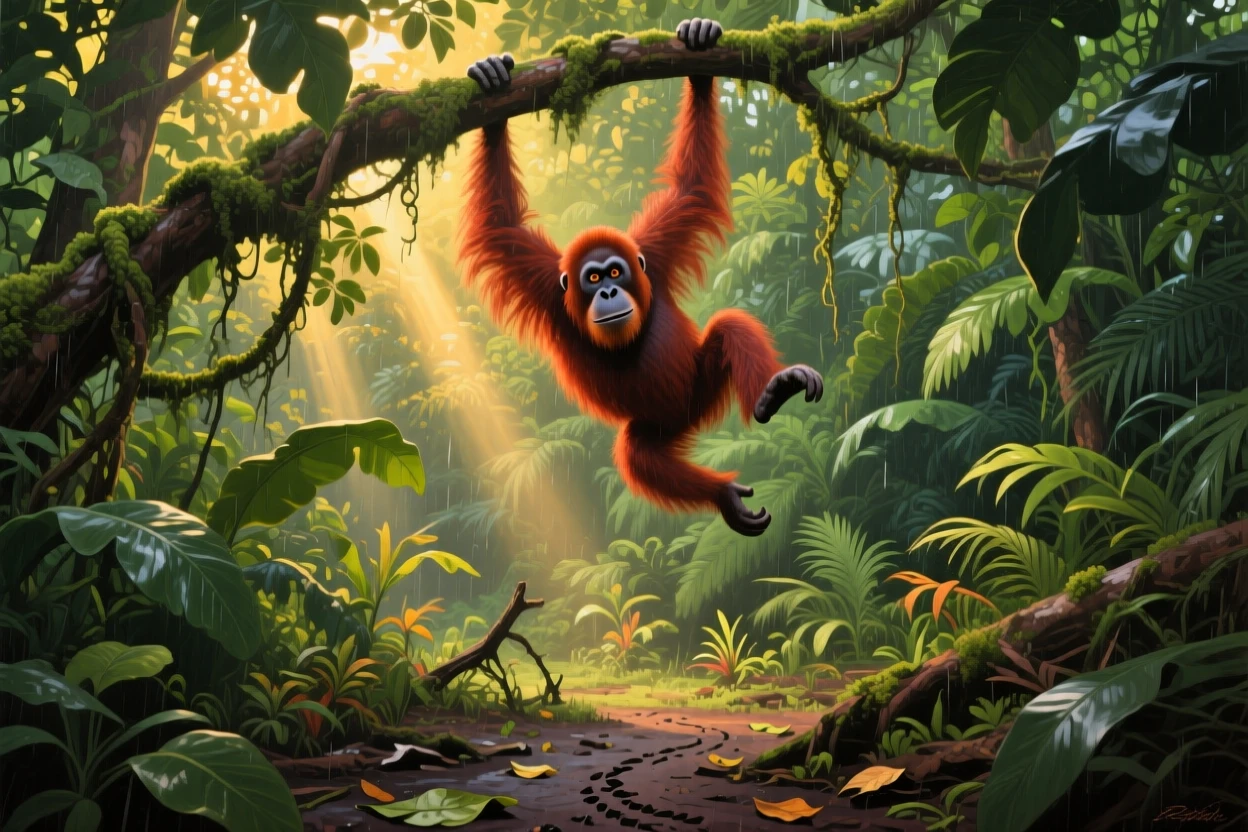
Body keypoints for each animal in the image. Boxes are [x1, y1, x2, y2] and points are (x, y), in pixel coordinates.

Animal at [459, 18, 823, 537]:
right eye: (592, 280)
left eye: (615, 271)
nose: (611, 290)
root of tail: (687, 420)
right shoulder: (542, 283)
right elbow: (499, 225)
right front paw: (493, 93)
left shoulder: (655, 252)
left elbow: (692, 188)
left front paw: (699, 56)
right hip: (661, 424)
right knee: (639, 457)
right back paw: (722, 495)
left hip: (698, 385)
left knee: (730, 328)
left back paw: (776, 388)